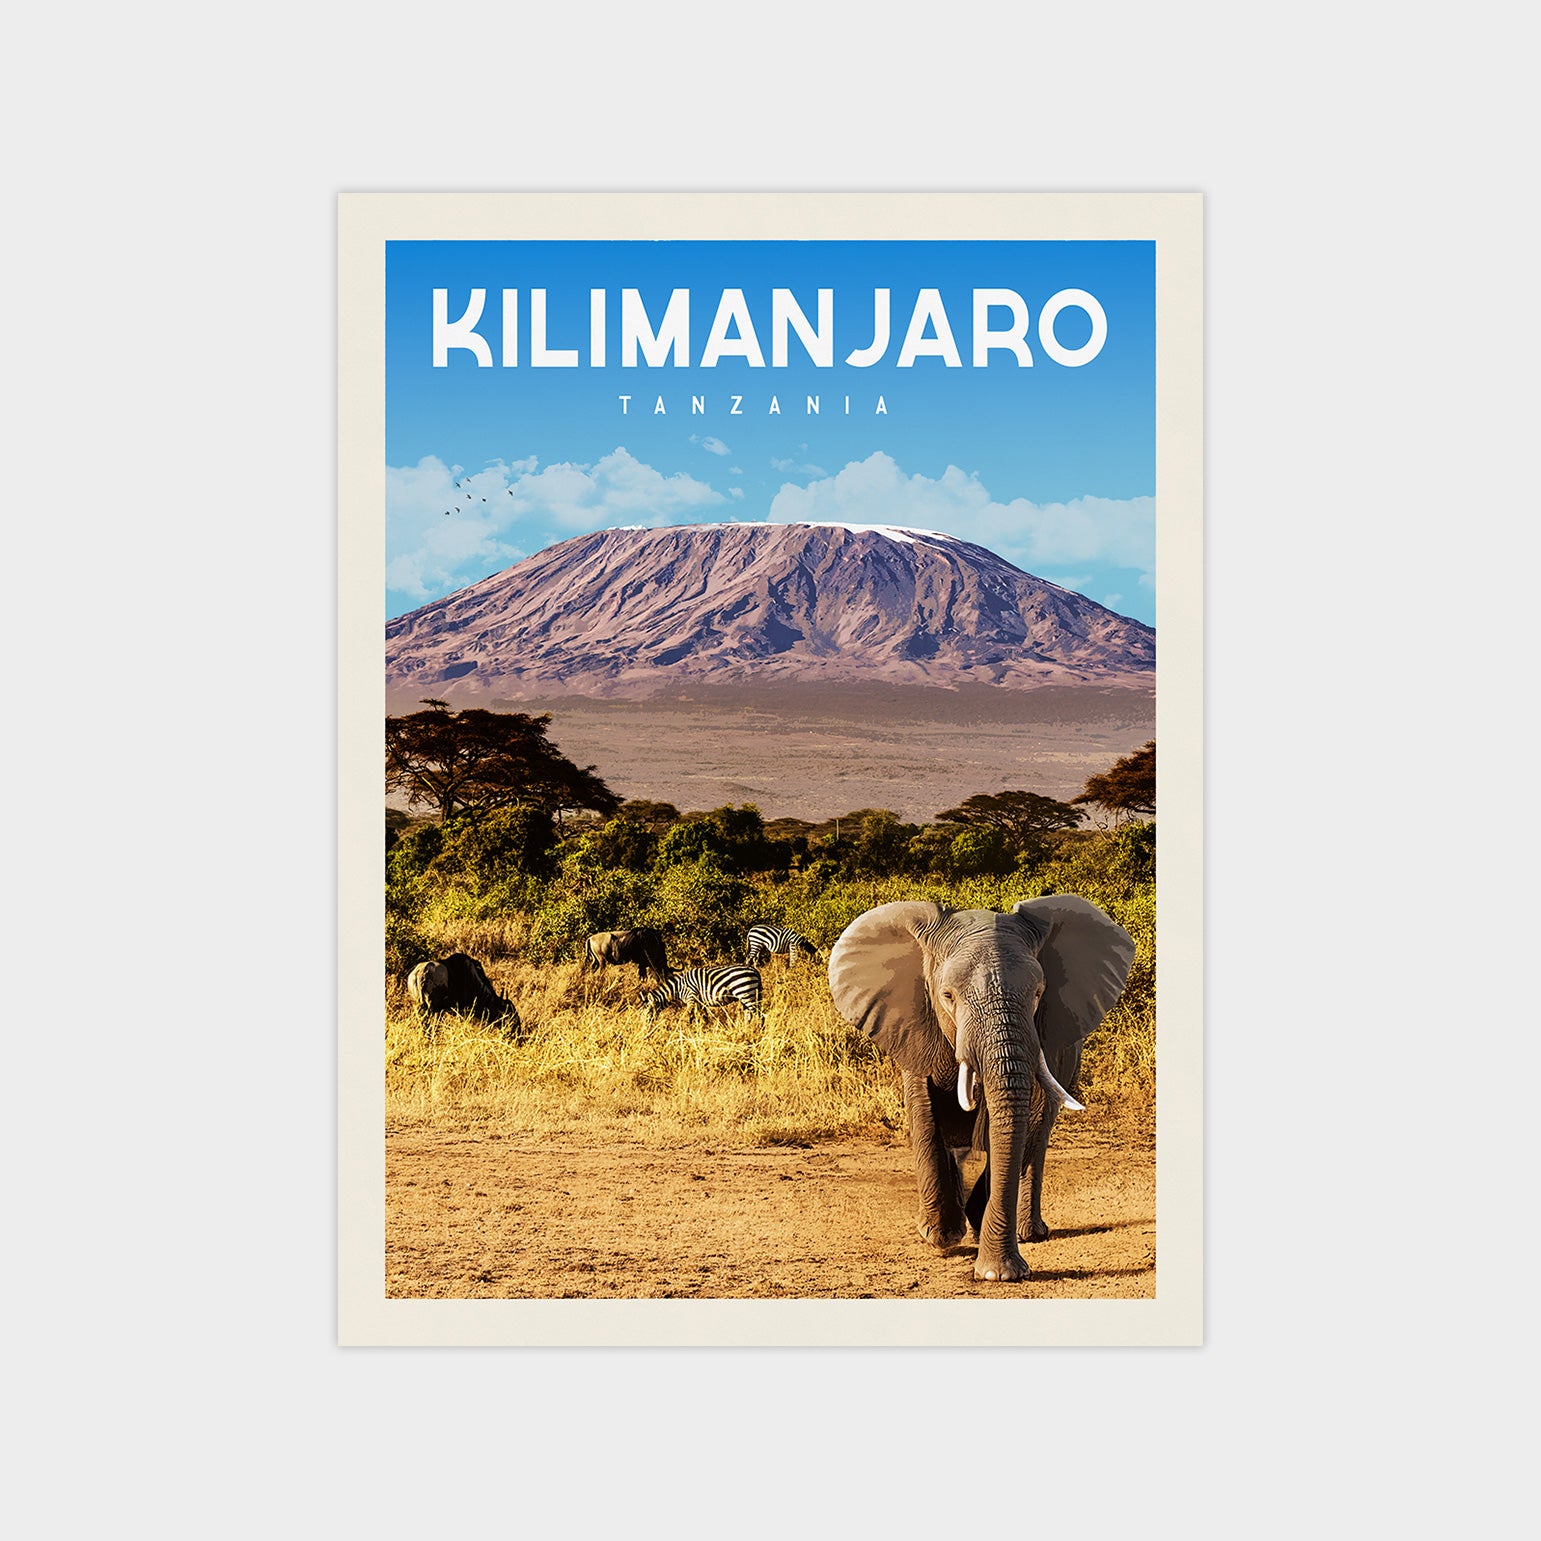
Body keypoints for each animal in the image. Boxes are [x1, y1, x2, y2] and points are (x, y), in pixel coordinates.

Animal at [827, 894, 1134, 1283]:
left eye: (1038, 994)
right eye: (947, 996)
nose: (1002, 1275)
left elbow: (1007, 1121)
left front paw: (994, 1268)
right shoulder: (912, 1022)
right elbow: (924, 1109)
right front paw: (941, 1237)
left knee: (1038, 1131)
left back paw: (1025, 1232)